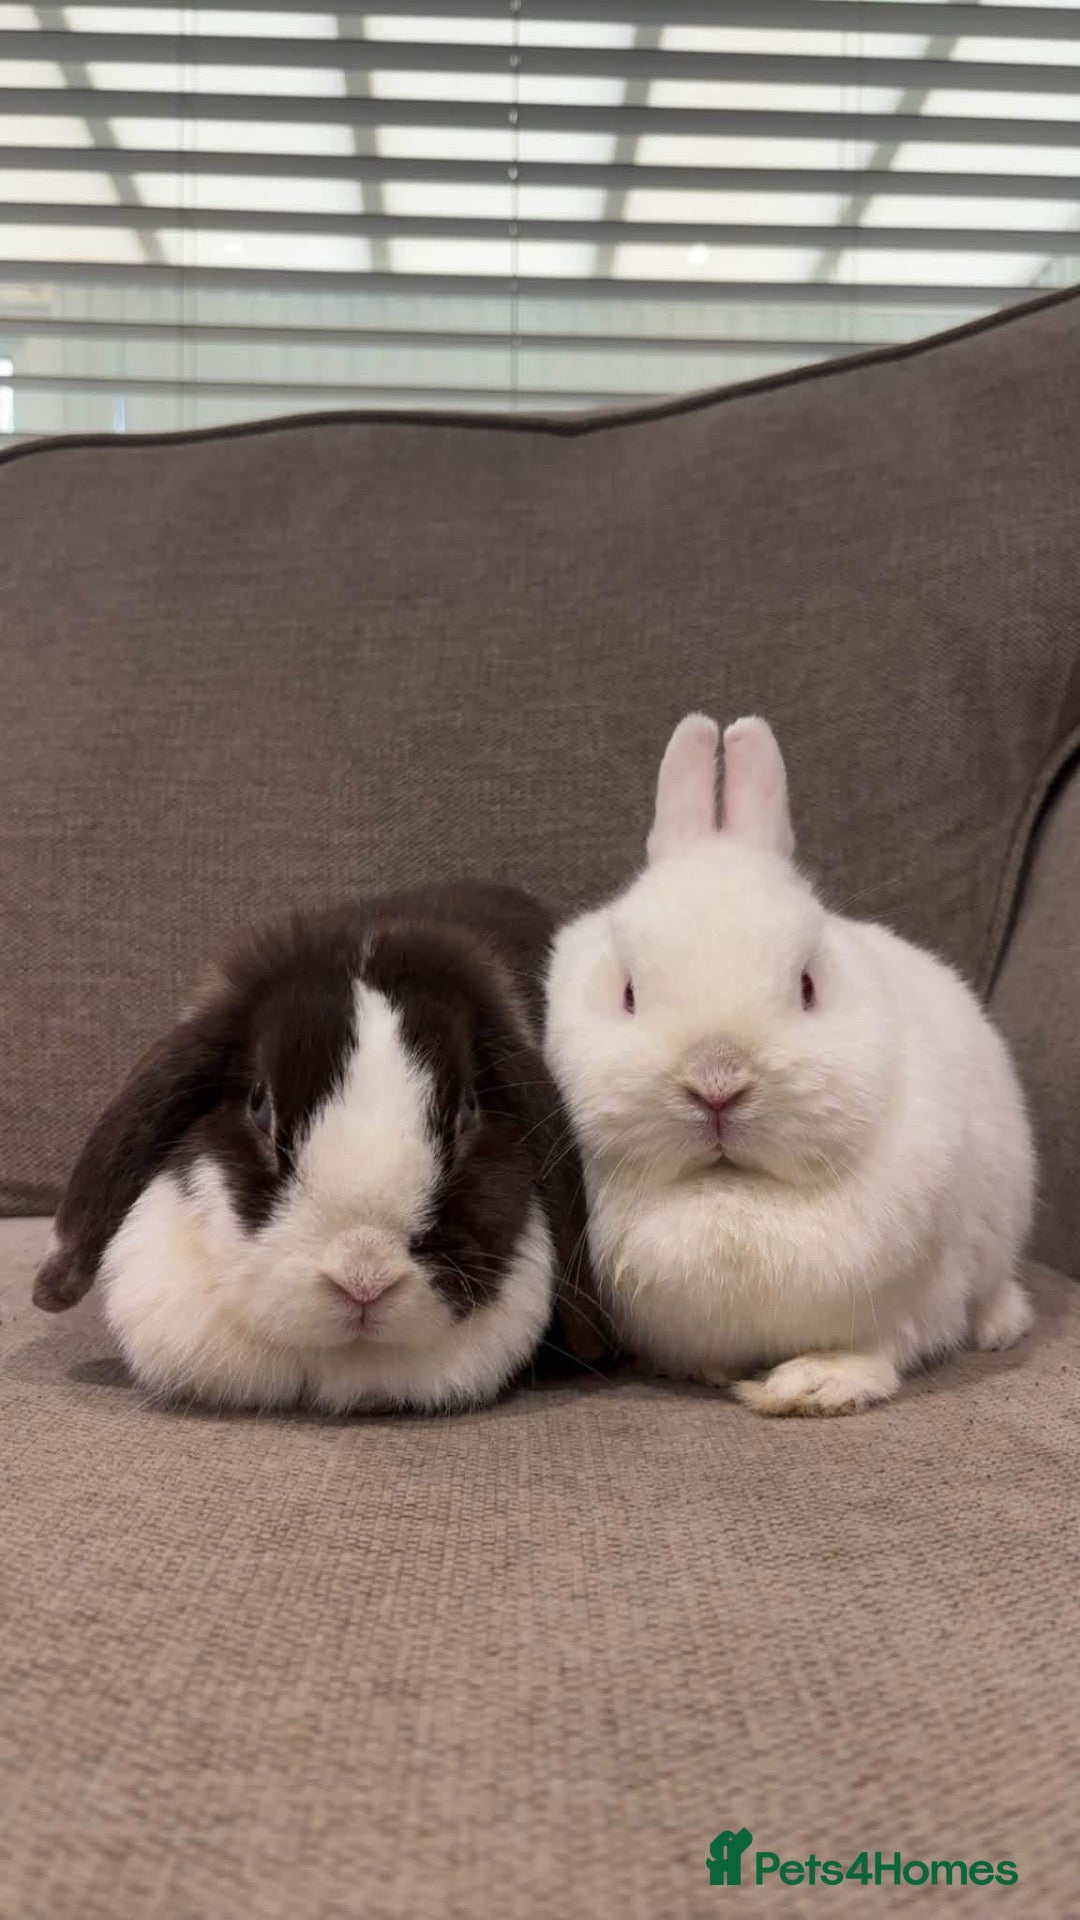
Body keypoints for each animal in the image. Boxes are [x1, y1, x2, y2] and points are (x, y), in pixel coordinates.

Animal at [544, 713, 1035, 1416]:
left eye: (807, 986)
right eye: (628, 993)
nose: (716, 1083)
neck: (731, 1195)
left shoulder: (917, 1298)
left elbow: (880, 1349)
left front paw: (811, 1386)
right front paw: (706, 1371)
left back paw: (1000, 1324)